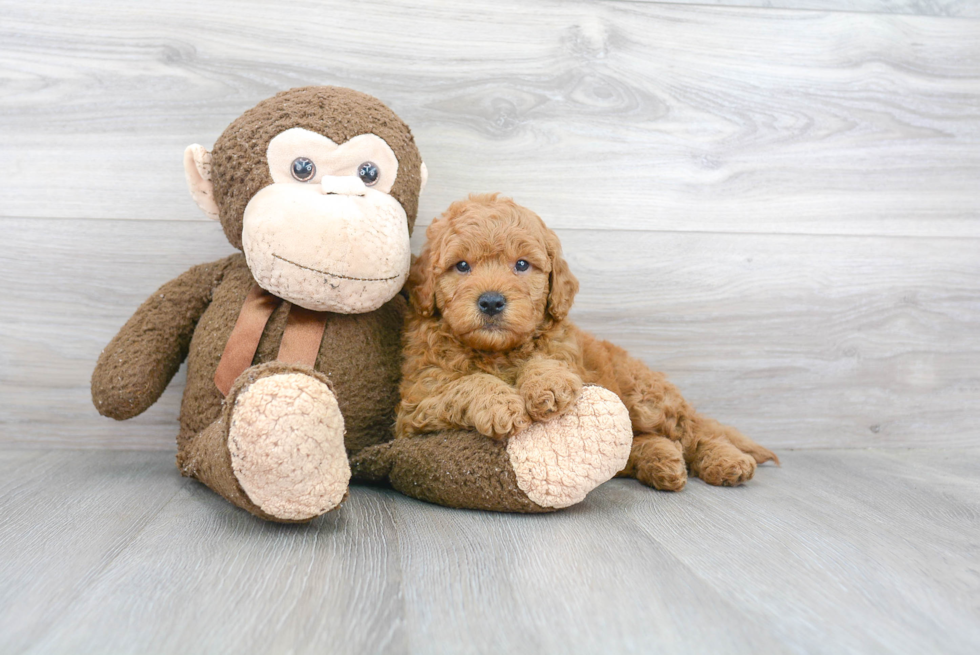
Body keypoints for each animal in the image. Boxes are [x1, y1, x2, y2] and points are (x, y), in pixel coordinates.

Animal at [394, 195, 776, 492]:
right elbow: (469, 383)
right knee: (637, 444)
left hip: (647, 398)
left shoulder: (563, 351)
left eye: (522, 264)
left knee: (694, 431)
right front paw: (501, 405)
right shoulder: (416, 405)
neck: (497, 352)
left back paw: (726, 461)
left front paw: (546, 386)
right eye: (461, 266)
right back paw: (663, 463)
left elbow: (546, 361)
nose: (491, 301)